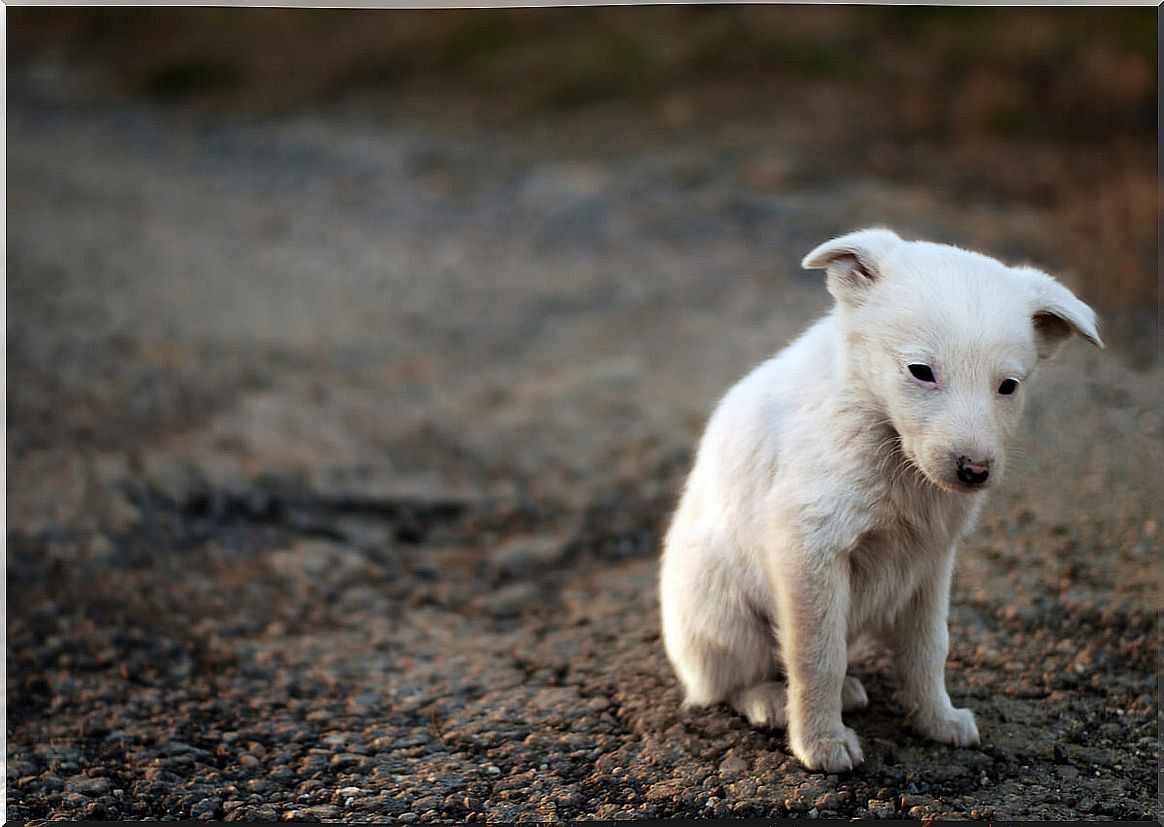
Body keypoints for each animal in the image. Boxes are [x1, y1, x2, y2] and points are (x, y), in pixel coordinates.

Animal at [661, 224, 1103, 768]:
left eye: (1008, 386)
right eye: (920, 371)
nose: (975, 472)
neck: (886, 437)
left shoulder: (931, 562)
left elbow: (928, 649)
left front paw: (937, 720)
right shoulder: (810, 549)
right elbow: (817, 656)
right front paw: (822, 743)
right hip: (722, 610)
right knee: (727, 683)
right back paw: (769, 700)